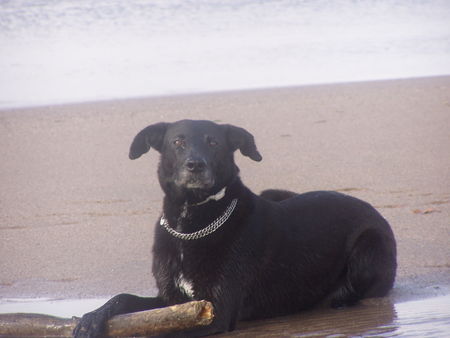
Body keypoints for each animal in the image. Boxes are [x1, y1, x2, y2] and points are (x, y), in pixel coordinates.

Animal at [74, 120, 398, 336]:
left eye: (213, 142)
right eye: (178, 142)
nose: (195, 165)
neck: (191, 224)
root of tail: (372, 210)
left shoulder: (216, 311)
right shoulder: (173, 303)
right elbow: (124, 298)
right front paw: (91, 319)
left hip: (368, 250)